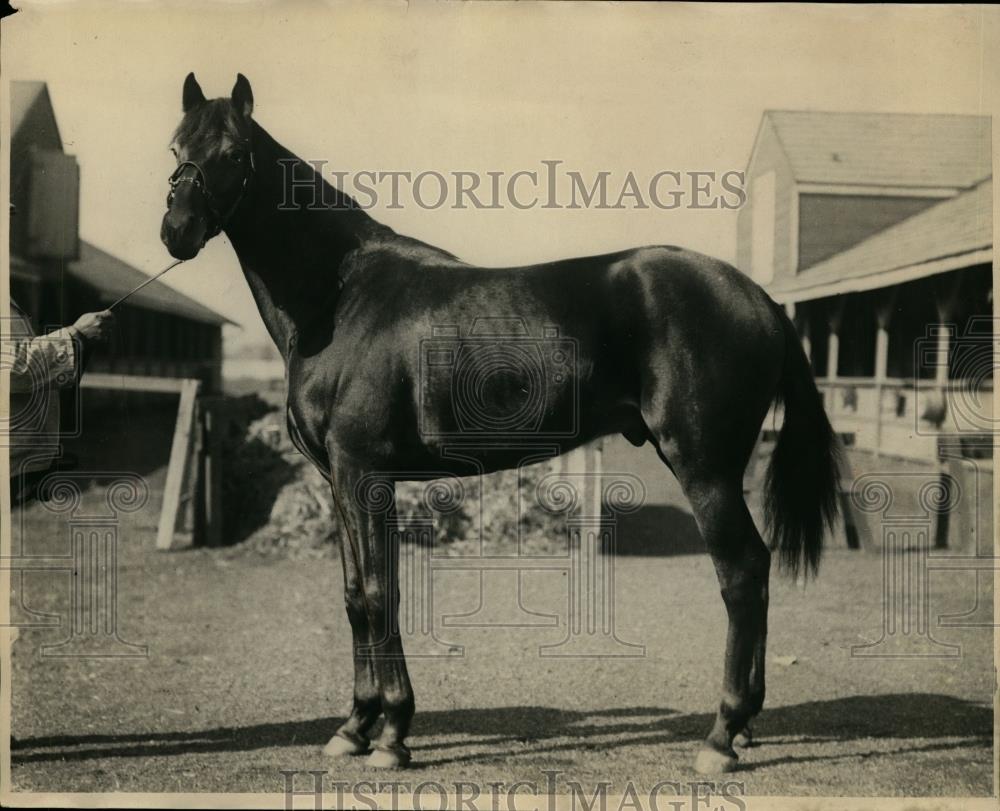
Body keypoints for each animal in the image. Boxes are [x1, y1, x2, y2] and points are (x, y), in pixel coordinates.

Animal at [160, 73, 840, 774]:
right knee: (754, 572)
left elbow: (380, 594)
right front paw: (354, 727)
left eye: (235, 153)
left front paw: (393, 734)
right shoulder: (340, 481)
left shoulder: (364, 474)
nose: (176, 230)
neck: (341, 297)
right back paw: (746, 727)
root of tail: (759, 298)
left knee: (742, 573)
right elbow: (354, 598)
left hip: (705, 468)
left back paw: (721, 736)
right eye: (176, 147)